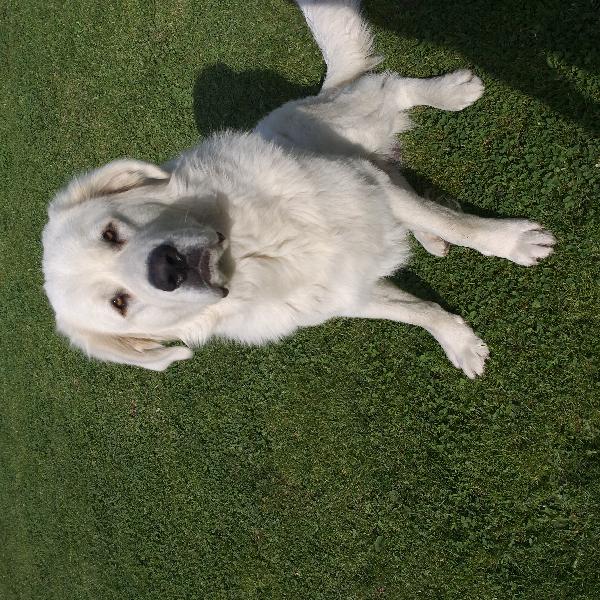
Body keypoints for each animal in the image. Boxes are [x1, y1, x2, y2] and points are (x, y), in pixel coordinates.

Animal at [42, 0, 556, 375]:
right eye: (119, 304)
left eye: (111, 233)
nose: (166, 268)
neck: (259, 250)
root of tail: (317, 95)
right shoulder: (350, 291)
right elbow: (418, 310)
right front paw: (458, 341)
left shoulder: (368, 188)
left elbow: (464, 227)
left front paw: (513, 242)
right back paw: (430, 240)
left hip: (351, 123)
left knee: (393, 89)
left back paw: (453, 91)